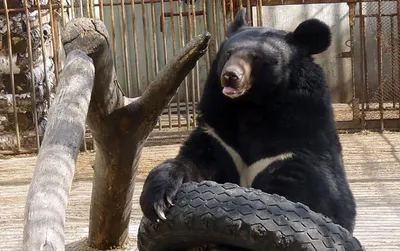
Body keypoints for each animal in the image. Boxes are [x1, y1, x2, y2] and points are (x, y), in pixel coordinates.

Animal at [140, 7, 356, 233]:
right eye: (228, 53)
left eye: (258, 58)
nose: (230, 75)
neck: (250, 106)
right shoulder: (219, 136)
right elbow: (193, 161)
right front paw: (158, 201)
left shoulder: (300, 140)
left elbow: (313, 192)